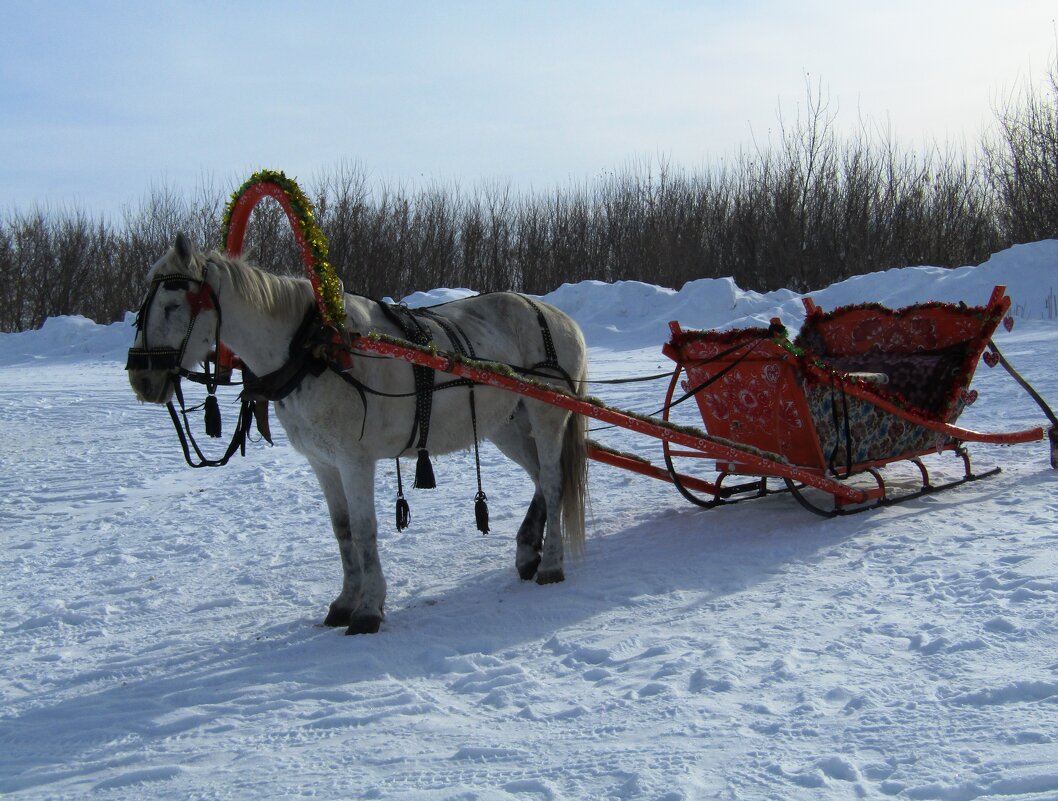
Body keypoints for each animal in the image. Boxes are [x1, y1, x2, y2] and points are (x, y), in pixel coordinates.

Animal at [128, 231, 592, 630]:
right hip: (507, 424)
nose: (142, 379)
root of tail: (560, 318)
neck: (315, 349)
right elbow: (343, 530)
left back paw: (551, 564)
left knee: (553, 481)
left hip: (546, 415)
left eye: (172, 305)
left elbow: (366, 530)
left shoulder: (355, 461)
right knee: (539, 476)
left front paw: (368, 609)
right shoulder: (323, 462)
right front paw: (344, 603)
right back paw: (527, 550)